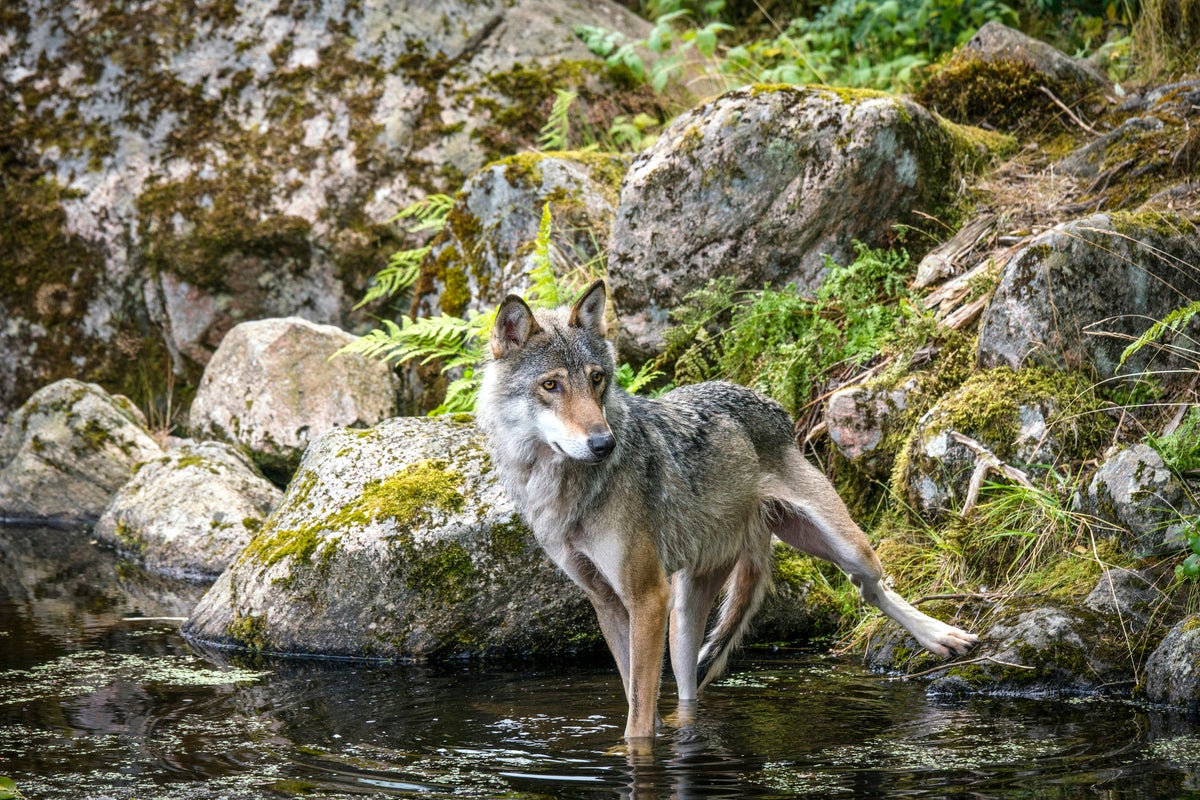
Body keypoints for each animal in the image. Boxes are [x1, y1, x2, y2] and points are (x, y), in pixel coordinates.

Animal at [476, 279, 977, 746]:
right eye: (551, 385)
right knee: (688, 691)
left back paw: (942, 636)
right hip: (683, 621)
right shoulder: (609, 602)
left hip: (842, 547)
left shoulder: (647, 596)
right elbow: (637, 700)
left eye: (597, 379)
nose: (604, 443)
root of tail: (770, 403)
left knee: (870, 587)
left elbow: (638, 716)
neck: (562, 488)